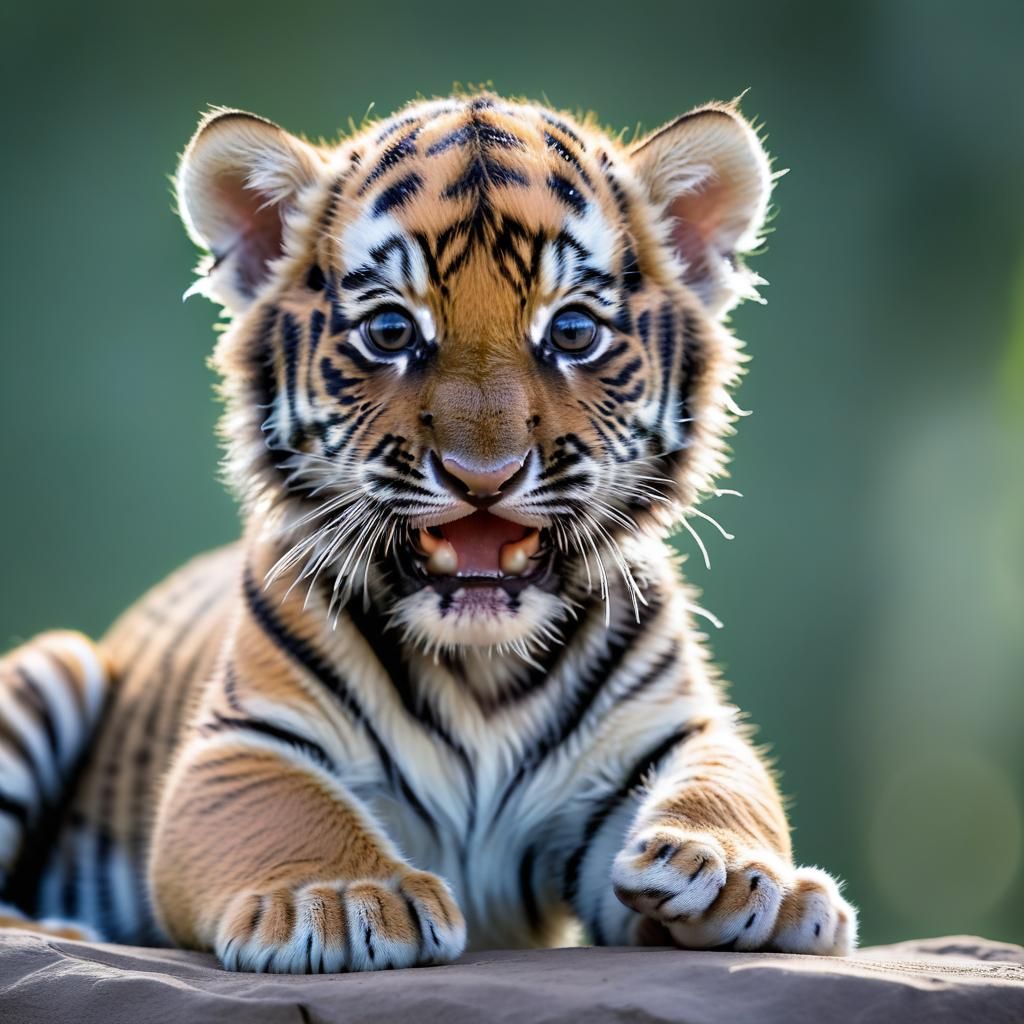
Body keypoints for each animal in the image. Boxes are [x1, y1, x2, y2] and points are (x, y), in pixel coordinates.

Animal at [0, 91, 857, 971]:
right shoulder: (242, 745)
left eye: (572, 332)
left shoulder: (662, 735)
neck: (480, 670)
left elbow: (727, 780)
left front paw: (747, 878)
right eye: (391, 332)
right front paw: (340, 899)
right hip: (51, 666)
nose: (484, 475)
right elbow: (287, 810)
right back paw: (61, 931)